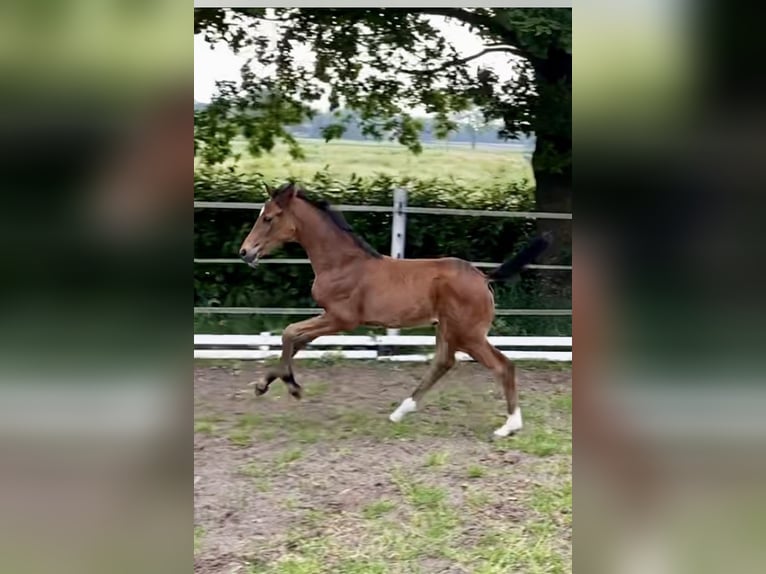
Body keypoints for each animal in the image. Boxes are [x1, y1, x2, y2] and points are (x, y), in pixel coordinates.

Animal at [240, 182, 552, 438]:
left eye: (268, 218)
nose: (245, 252)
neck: (343, 263)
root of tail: (484, 277)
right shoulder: (331, 318)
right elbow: (295, 339)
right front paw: (266, 384)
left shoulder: (341, 319)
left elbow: (290, 333)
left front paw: (289, 386)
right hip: (448, 329)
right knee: (444, 362)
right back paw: (400, 412)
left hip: (468, 334)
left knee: (502, 365)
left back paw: (509, 426)